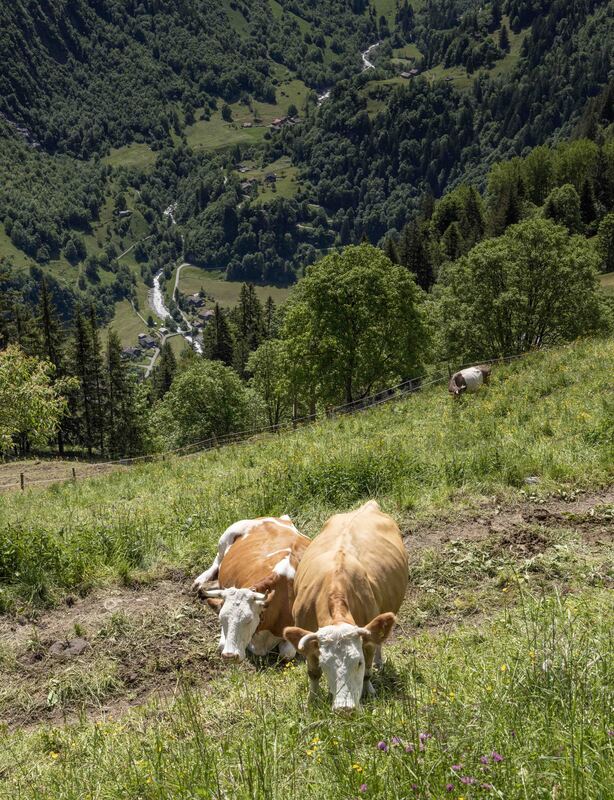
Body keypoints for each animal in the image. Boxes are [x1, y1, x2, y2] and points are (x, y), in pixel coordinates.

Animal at [192, 516, 310, 662]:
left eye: (248, 620)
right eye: (221, 619)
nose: (229, 656)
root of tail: (276, 518)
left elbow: (287, 654)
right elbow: (221, 645)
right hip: (227, 535)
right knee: (218, 560)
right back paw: (201, 581)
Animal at [283, 500, 408, 713]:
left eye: (358, 662)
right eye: (326, 665)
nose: (345, 709)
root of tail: (368, 505)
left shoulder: (367, 642)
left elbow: (368, 671)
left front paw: (369, 691)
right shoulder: (309, 644)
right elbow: (313, 673)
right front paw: (312, 700)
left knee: (380, 641)